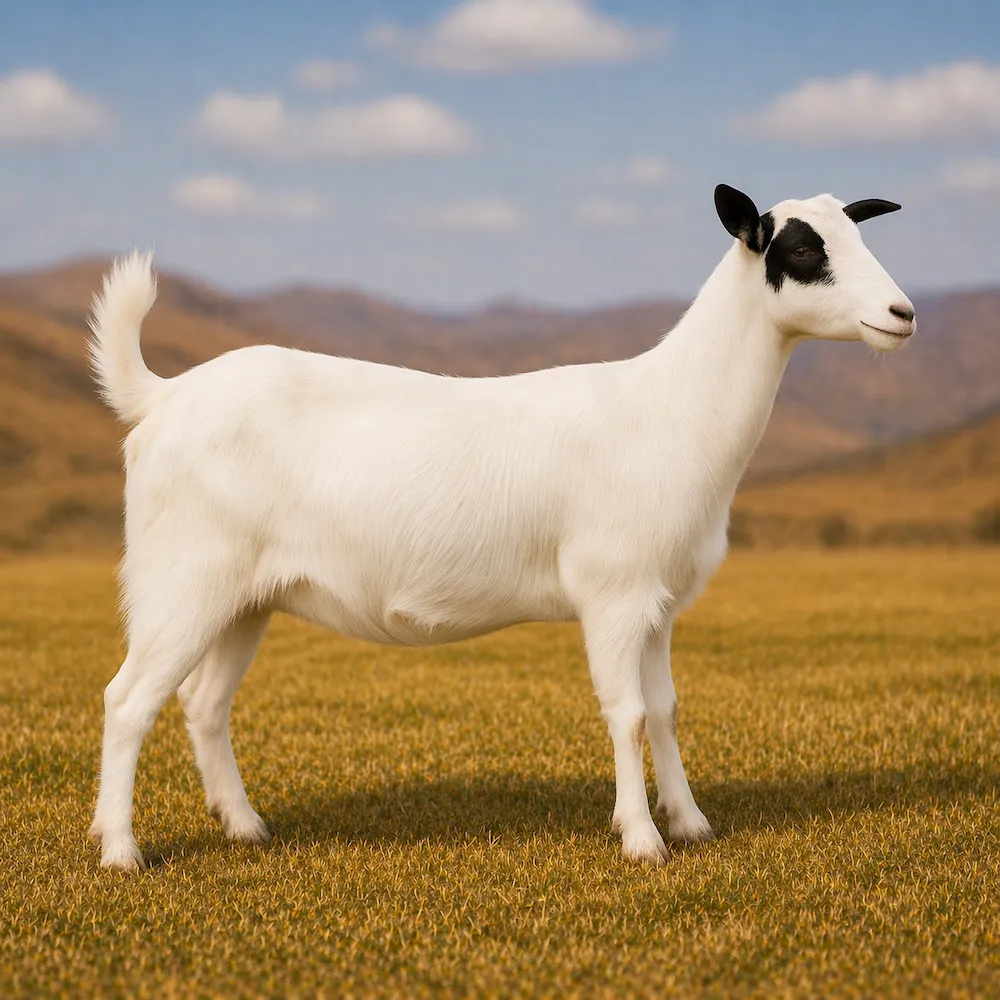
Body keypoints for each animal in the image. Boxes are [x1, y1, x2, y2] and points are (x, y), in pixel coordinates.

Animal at [87, 185, 914, 871]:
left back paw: (244, 827)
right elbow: (627, 716)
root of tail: (161, 397)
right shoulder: (612, 595)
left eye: (854, 233)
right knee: (127, 702)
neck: (670, 406)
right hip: (183, 580)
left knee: (204, 704)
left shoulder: (658, 603)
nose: (903, 314)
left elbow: (667, 711)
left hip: (243, 597)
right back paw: (121, 851)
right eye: (801, 251)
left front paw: (690, 823)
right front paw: (641, 840)